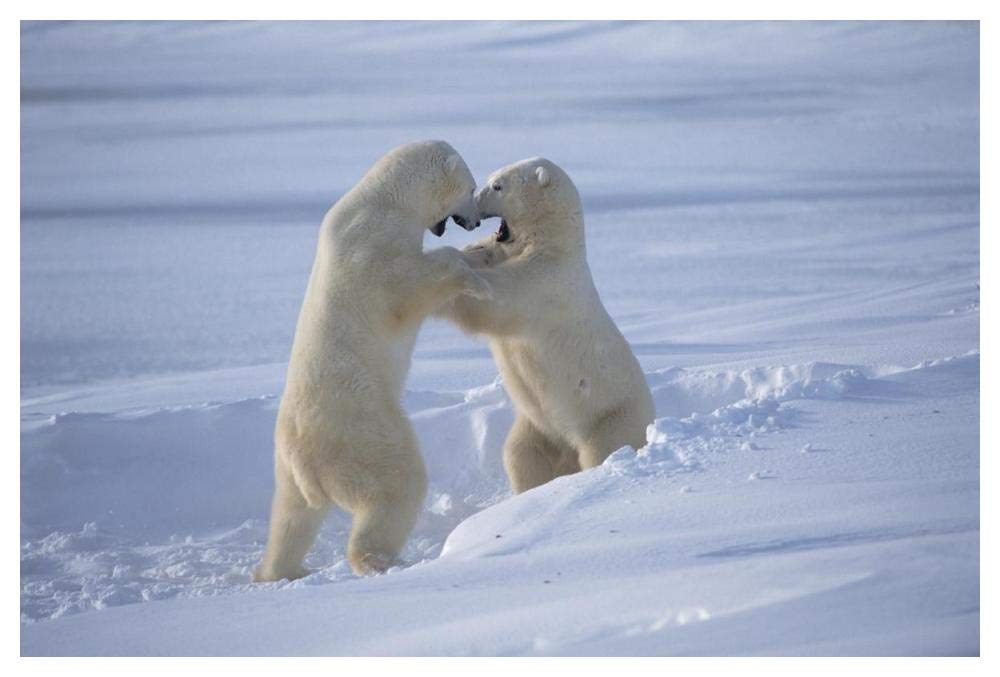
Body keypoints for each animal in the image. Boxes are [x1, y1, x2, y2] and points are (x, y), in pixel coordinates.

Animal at [254, 140, 490, 582]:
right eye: (470, 188)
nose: (475, 221)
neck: (381, 201)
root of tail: (305, 462)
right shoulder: (373, 253)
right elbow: (409, 286)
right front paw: (476, 278)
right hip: (364, 432)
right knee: (397, 484)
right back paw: (385, 560)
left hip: (285, 467)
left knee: (291, 517)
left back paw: (281, 569)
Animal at [436, 157, 655, 493]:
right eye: (491, 179)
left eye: (497, 185)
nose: (473, 201)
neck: (553, 243)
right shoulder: (503, 253)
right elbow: (481, 254)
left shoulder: (546, 283)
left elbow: (499, 302)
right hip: (537, 427)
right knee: (521, 455)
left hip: (609, 416)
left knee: (600, 449)